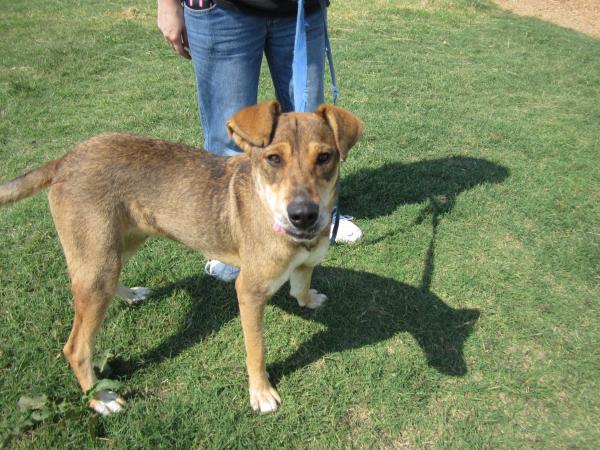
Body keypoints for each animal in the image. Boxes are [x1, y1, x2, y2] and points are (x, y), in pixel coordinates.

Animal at [0, 101, 362, 415]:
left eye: (325, 157)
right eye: (273, 159)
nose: (303, 215)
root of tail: (65, 158)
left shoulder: (305, 263)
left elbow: (301, 285)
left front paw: (308, 299)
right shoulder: (249, 292)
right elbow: (256, 350)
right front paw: (260, 393)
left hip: (120, 244)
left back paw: (131, 295)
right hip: (97, 262)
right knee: (76, 348)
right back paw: (100, 399)